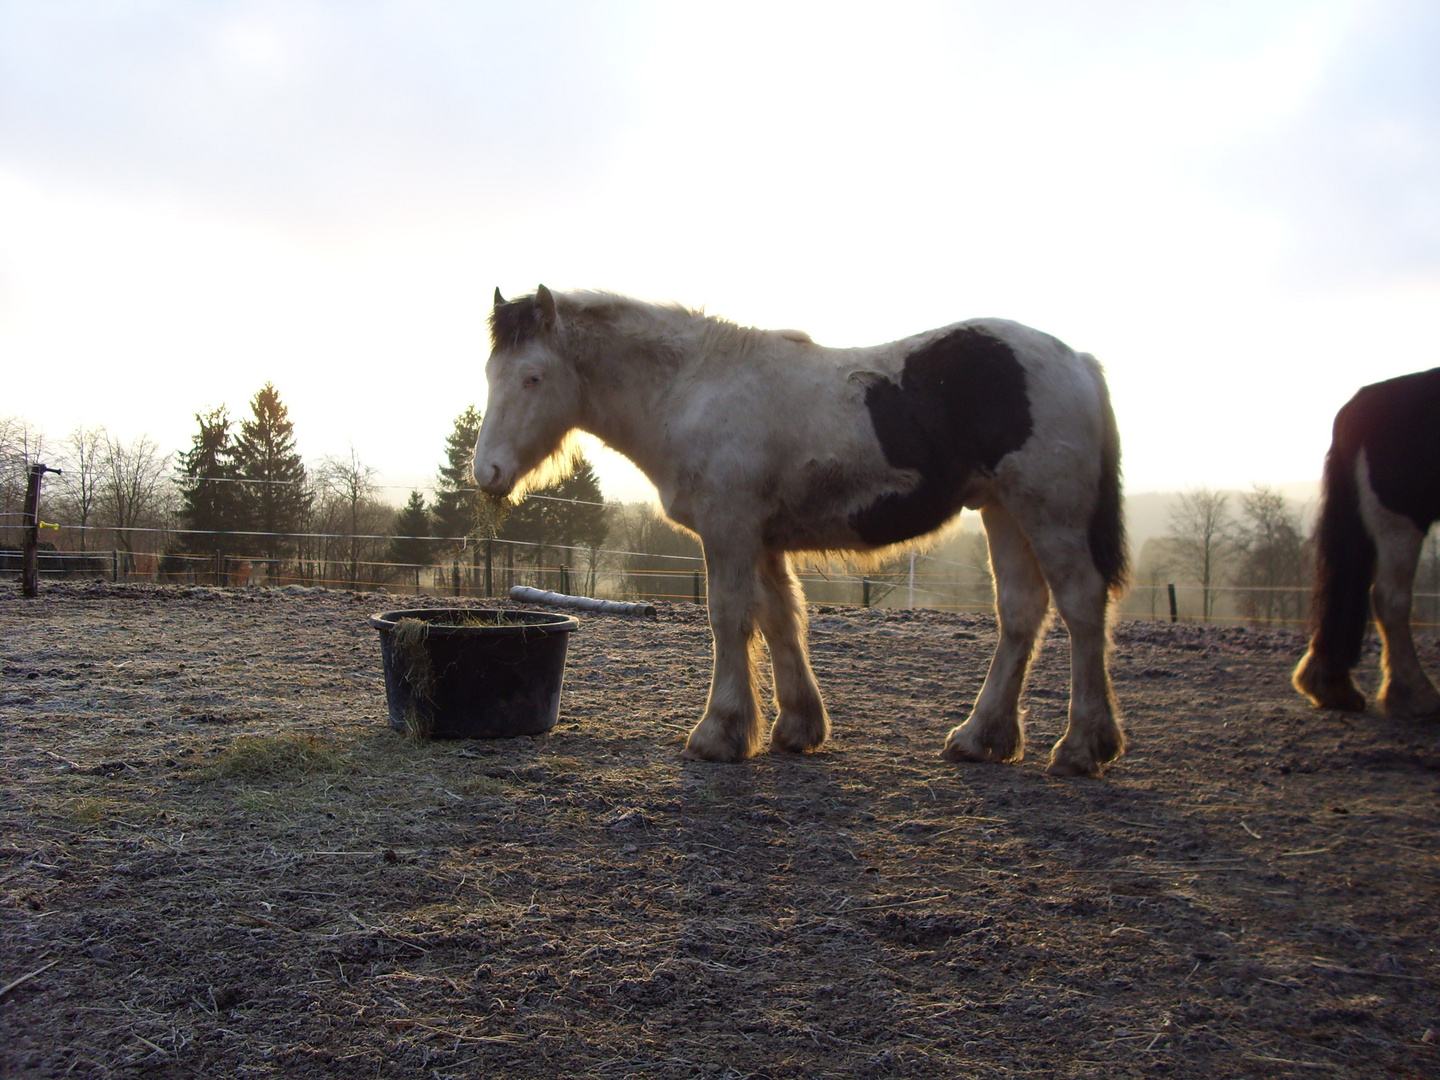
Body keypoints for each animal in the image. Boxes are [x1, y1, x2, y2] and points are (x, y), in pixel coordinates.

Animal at [472, 289, 1123, 777]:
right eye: (490, 373)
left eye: (532, 377)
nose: (488, 473)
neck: (692, 387)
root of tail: (1079, 360)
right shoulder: (762, 537)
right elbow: (780, 619)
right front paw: (797, 728)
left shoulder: (729, 528)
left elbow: (730, 618)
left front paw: (720, 733)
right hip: (1003, 512)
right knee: (1021, 613)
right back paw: (981, 737)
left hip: (1048, 515)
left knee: (1081, 607)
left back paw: (1082, 747)